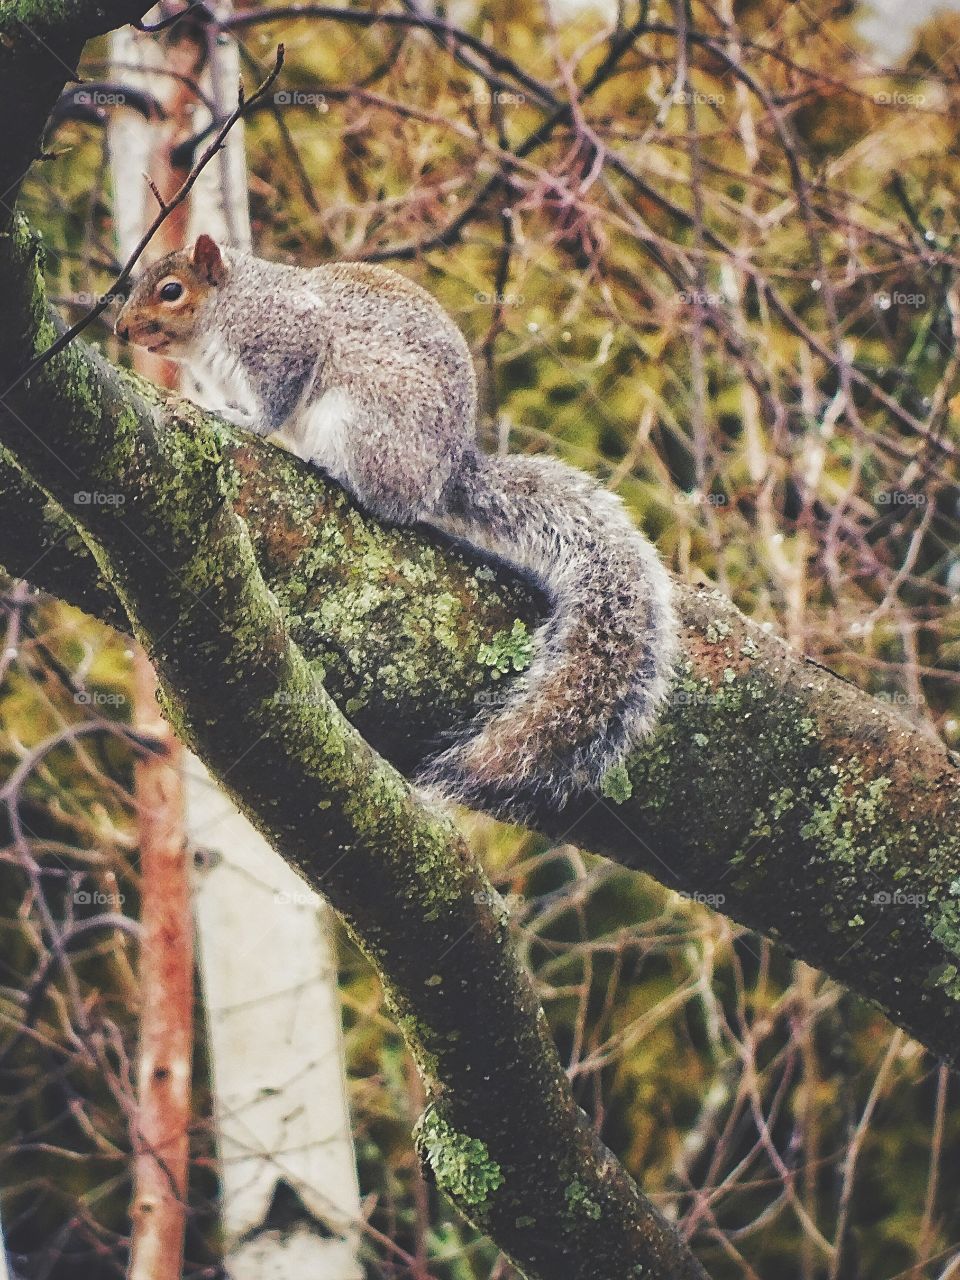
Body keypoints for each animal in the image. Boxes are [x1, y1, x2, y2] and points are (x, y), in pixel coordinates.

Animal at [115, 234, 678, 818]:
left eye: (171, 291)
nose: (121, 330)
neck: (229, 308)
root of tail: (445, 475)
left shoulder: (284, 343)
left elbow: (275, 404)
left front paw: (243, 420)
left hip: (365, 421)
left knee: (384, 499)